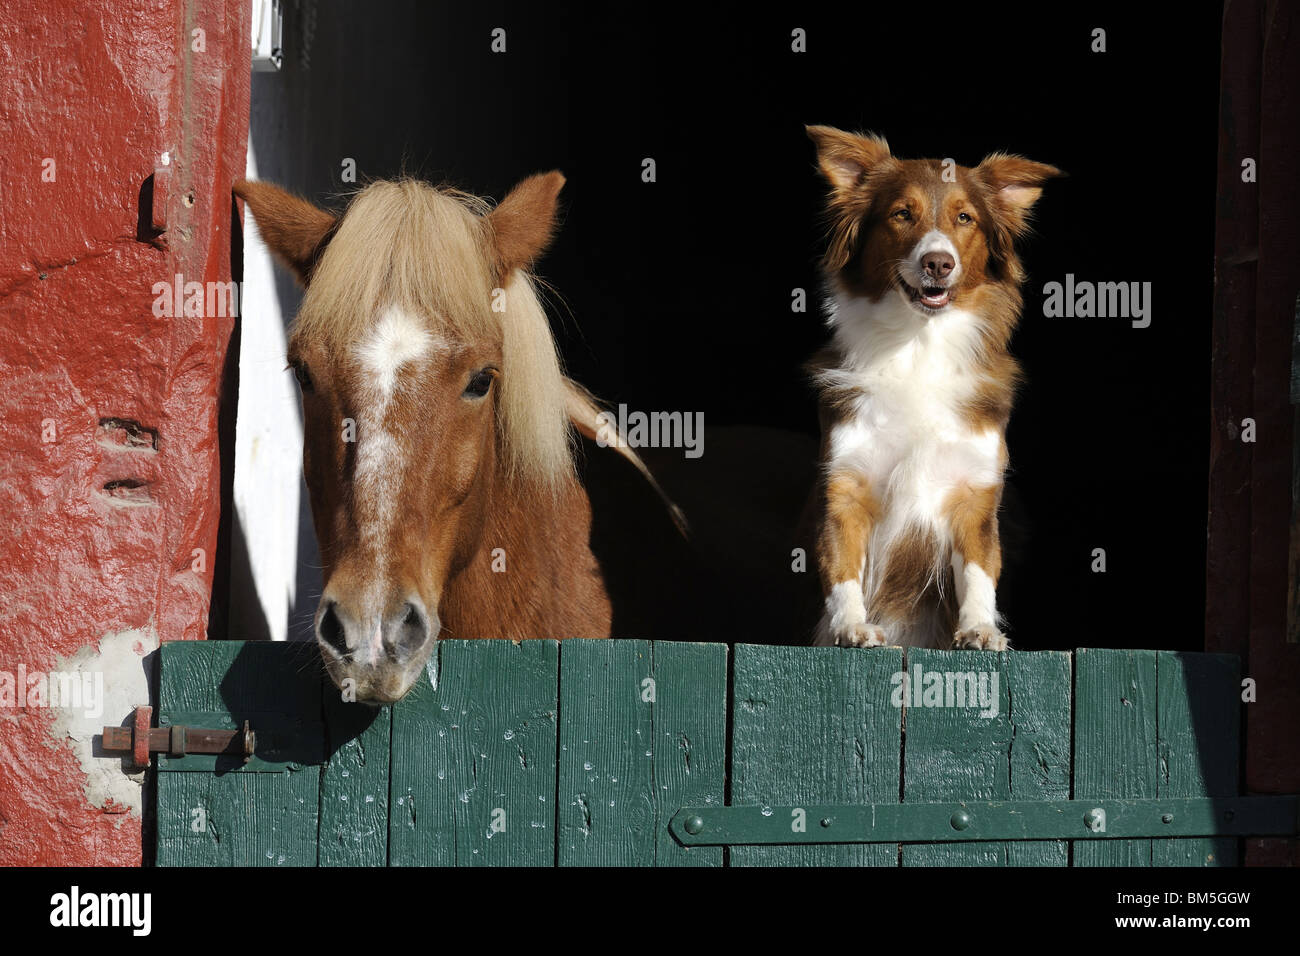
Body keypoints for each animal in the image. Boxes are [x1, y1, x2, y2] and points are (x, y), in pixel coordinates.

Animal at [806, 125, 1060, 650]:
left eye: (965, 218)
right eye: (902, 214)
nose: (938, 263)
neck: (918, 344)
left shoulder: (975, 494)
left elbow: (980, 571)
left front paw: (980, 628)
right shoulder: (845, 486)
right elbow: (841, 566)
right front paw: (850, 625)